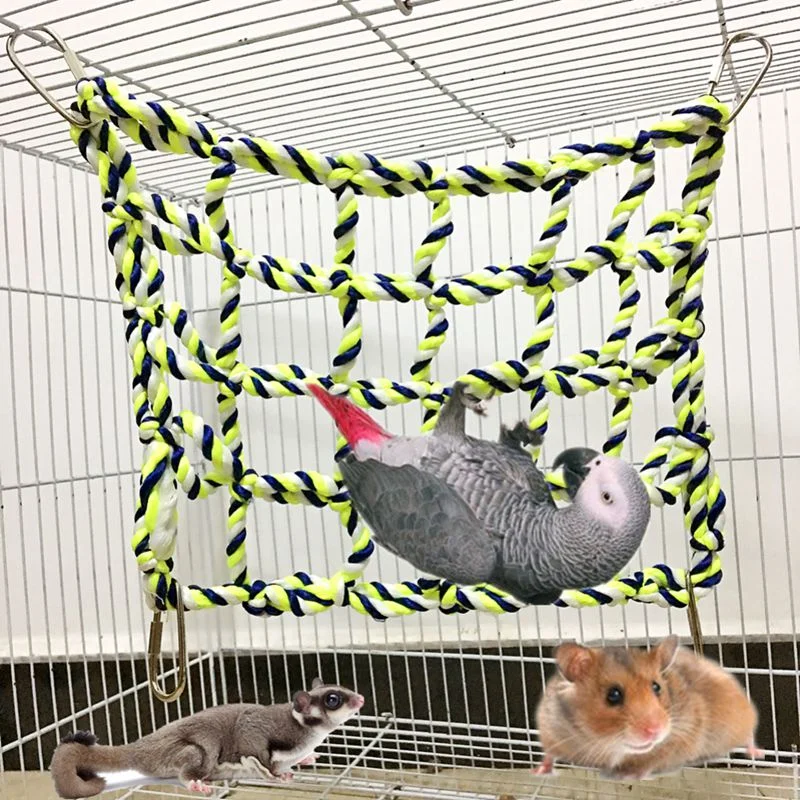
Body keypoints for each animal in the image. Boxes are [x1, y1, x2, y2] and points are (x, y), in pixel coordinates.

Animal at [50, 677, 365, 798]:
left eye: (340, 688)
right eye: (333, 699)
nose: (361, 698)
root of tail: (139, 748)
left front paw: (308, 758)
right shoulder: (259, 729)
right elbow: (256, 750)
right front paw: (275, 775)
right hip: (190, 752)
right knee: (191, 764)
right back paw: (195, 783)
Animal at [534, 636, 760, 780]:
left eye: (656, 687)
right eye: (613, 695)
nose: (656, 730)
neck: (605, 743)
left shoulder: (682, 735)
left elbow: (649, 761)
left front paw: (626, 775)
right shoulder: (550, 729)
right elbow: (549, 754)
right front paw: (539, 772)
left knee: (749, 735)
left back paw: (757, 754)